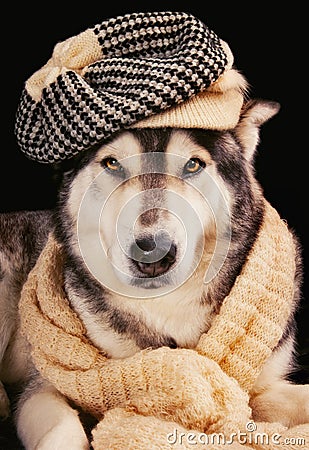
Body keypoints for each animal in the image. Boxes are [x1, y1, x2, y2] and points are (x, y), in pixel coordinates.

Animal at [0, 99, 306, 450]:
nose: (152, 252)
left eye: (193, 165)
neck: (165, 307)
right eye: (112, 163)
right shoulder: (40, 388)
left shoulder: (259, 388)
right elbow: (64, 430)